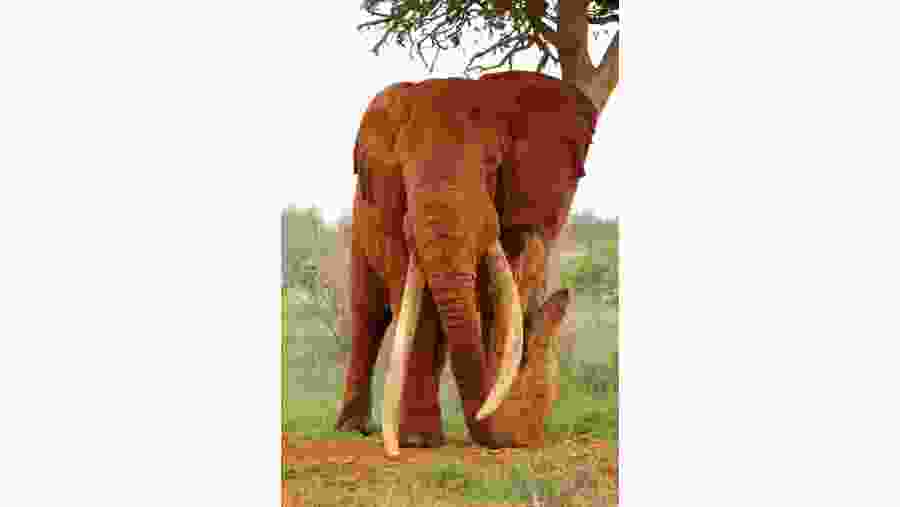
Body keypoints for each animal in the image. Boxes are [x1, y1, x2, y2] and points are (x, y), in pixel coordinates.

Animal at [333, 71, 599, 455]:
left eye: (491, 166)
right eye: (402, 171)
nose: (509, 439)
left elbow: (493, 300)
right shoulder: (389, 210)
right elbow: (414, 301)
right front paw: (420, 441)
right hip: (359, 216)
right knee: (369, 311)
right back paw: (354, 429)